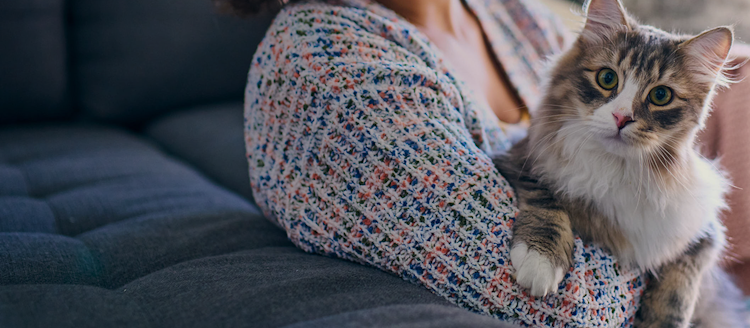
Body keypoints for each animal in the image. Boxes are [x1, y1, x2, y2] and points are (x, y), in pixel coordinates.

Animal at [496, 0, 748, 326]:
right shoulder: (517, 159)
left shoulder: (704, 233)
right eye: (607, 78)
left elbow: (679, 288)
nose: (621, 117)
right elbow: (546, 199)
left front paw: (660, 319)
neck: (616, 169)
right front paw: (540, 261)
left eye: (661, 95)